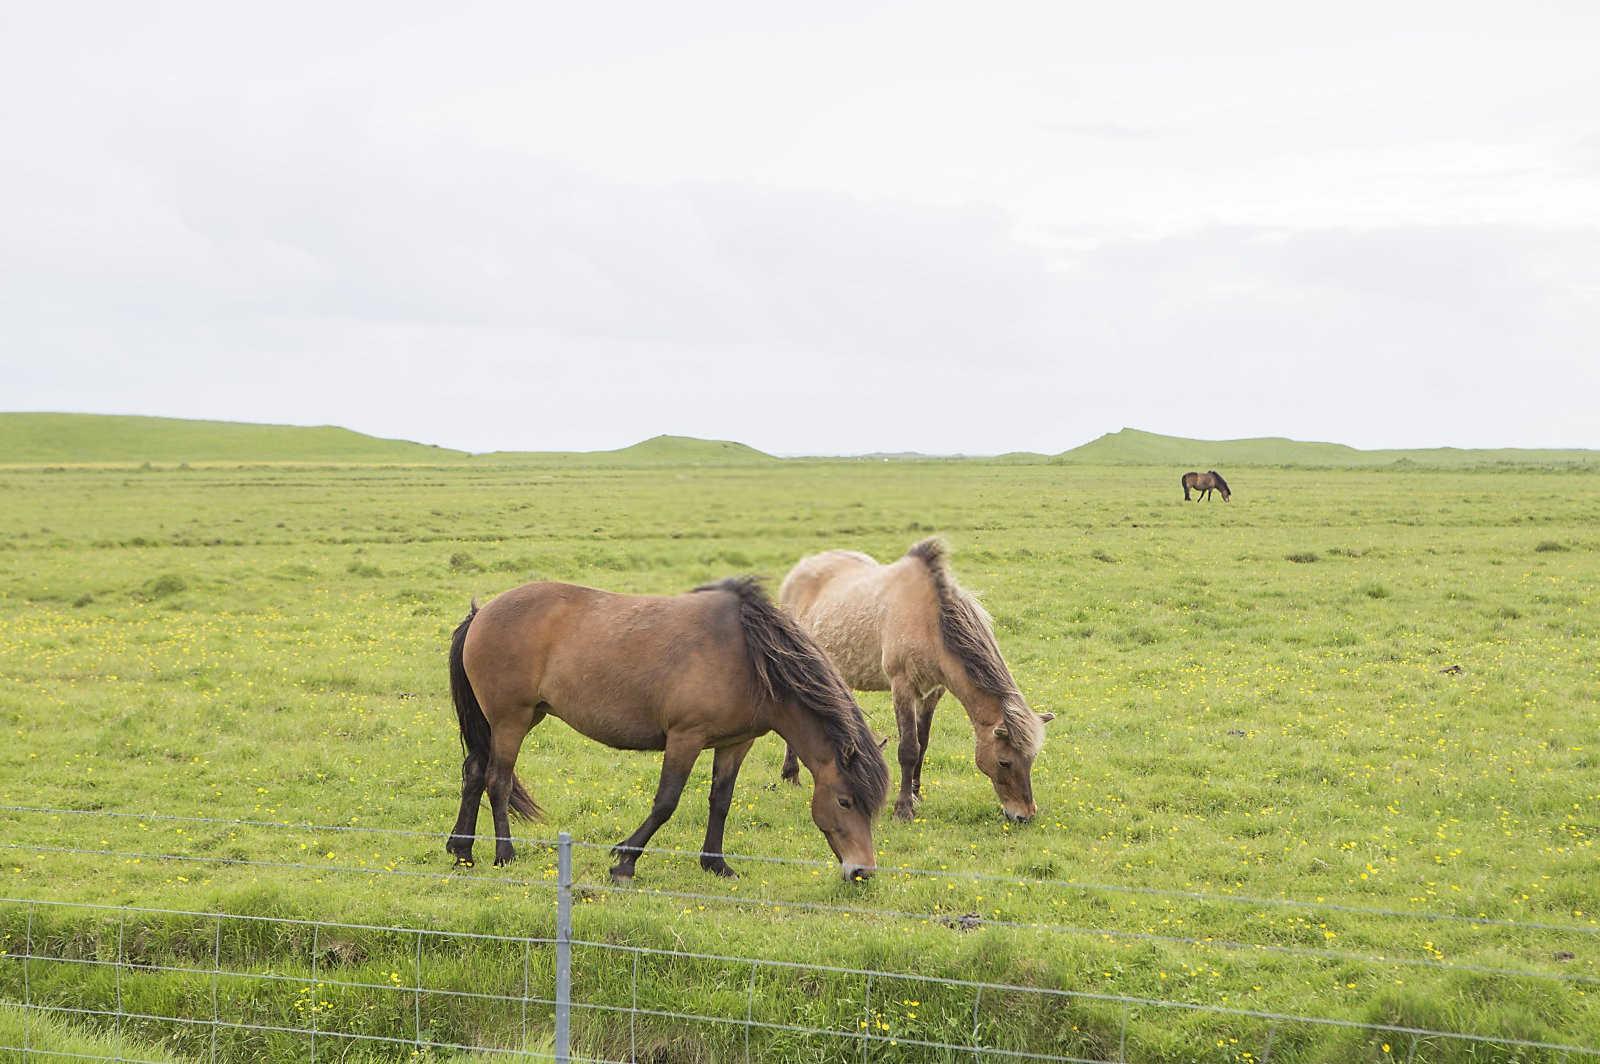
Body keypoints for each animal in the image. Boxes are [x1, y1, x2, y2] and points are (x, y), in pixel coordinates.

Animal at [444, 576, 889, 876]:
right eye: (845, 801)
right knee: (497, 781)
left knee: (474, 772)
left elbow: (721, 801)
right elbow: (666, 802)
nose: (862, 871)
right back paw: (504, 854)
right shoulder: (684, 738)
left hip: (506, 720)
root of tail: (482, 613)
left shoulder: (735, 743)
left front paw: (716, 864)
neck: (749, 658)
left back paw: (462, 850)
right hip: (510, 720)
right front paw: (625, 860)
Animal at [774, 540, 1049, 819]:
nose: (1025, 815)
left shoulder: (933, 692)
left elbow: (923, 743)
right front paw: (903, 808)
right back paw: (791, 775)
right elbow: (908, 749)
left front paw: (916, 794)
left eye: (1032, 758)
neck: (929, 621)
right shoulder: (903, 686)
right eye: (1005, 761)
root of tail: (800, 569)